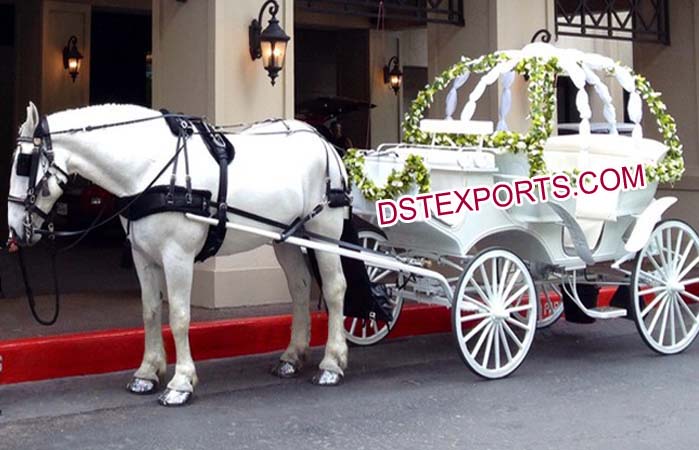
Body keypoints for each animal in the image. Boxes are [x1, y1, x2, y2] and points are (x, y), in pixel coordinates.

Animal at [6, 103, 350, 406]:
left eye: (23, 164)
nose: (14, 232)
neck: (149, 169)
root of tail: (322, 140)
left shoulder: (177, 255)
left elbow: (180, 316)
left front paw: (180, 383)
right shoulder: (142, 256)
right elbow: (150, 311)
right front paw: (147, 372)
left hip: (326, 230)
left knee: (334, 289)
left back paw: (332, 363)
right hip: (288, 238)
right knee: (300, 289)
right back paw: (292, 356)